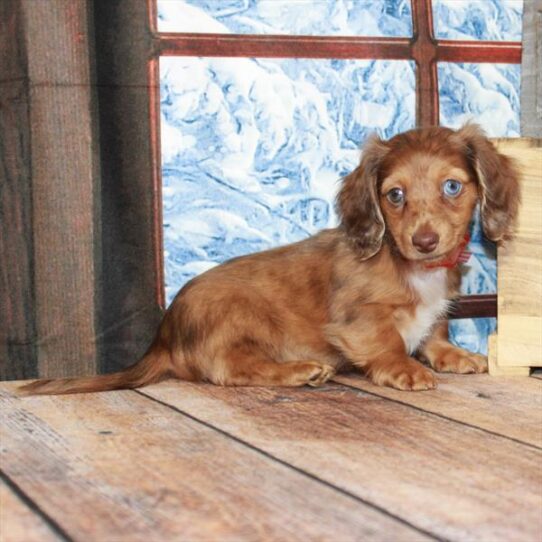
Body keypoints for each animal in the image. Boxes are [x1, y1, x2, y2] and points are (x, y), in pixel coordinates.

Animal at [22, 123, 524, 396]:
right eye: (394, 195)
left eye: (452, 186)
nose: (424, 241)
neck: (412, 267)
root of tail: (163, 336)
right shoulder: (358, 318)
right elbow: (386, 341)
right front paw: (404, 368)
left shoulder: (436, 310)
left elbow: (433, 331)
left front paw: (454, 354)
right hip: (241, 318)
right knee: (230, 371)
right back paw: (301, 370)